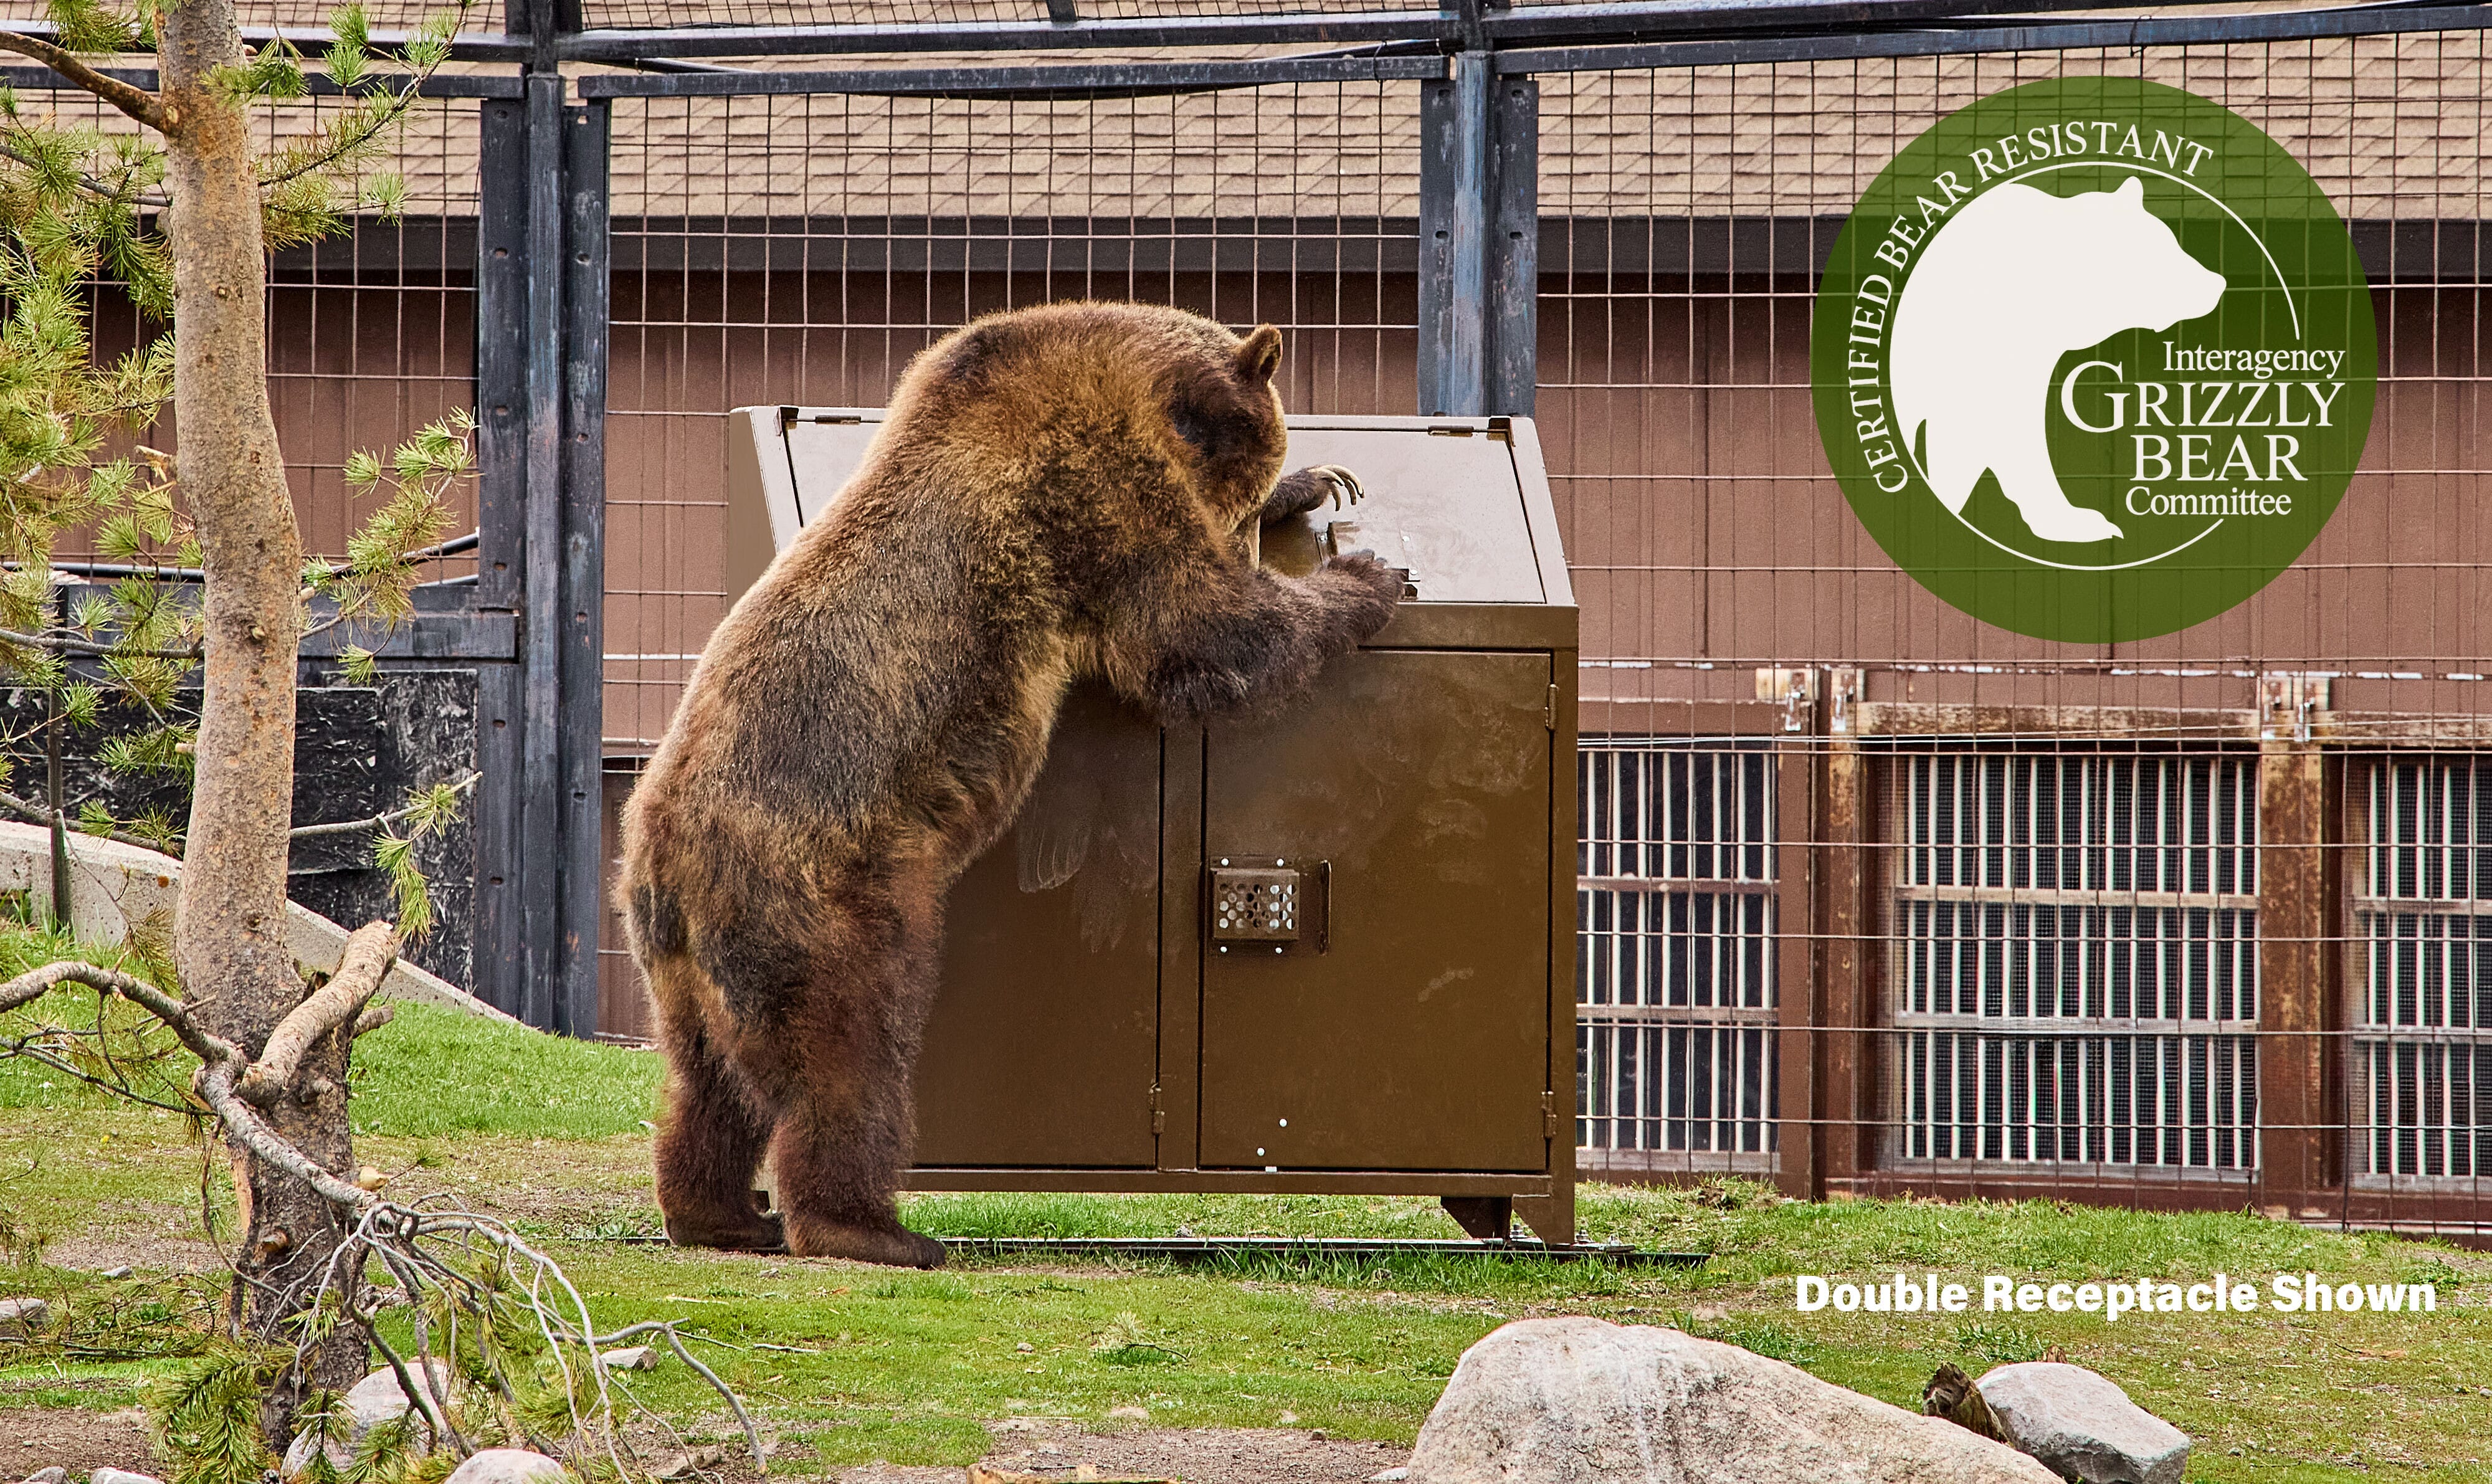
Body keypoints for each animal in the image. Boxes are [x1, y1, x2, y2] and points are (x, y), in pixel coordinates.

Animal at [618, 302, 1405, 1268]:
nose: (1261, 528)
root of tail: (664, 868)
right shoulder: (1093, 490)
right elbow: (1195, 628)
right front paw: (1367, 577)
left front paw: (1323, 478)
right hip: (820, 904)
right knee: (847, 1061)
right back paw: (874, 1227)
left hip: (680, 969)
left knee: (705, 1084)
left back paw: (722, 1212)